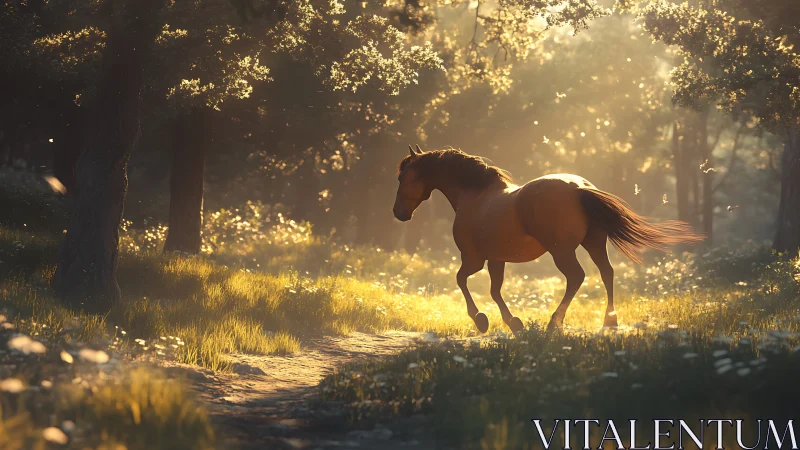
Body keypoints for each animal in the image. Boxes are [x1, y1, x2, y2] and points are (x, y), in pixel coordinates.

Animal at [392, 145, 703, 332]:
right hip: (593, 244)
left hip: (561, 251)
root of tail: (578, 188)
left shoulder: (474, 259)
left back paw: (555, 323)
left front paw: (482, 320)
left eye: (402, 178)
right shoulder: (496, 259)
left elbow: (462, 281)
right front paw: (514, 323)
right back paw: (609, 321)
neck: (476, 196)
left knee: (577, 277)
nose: (398, 213)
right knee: (607, 273)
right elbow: (495, 291)